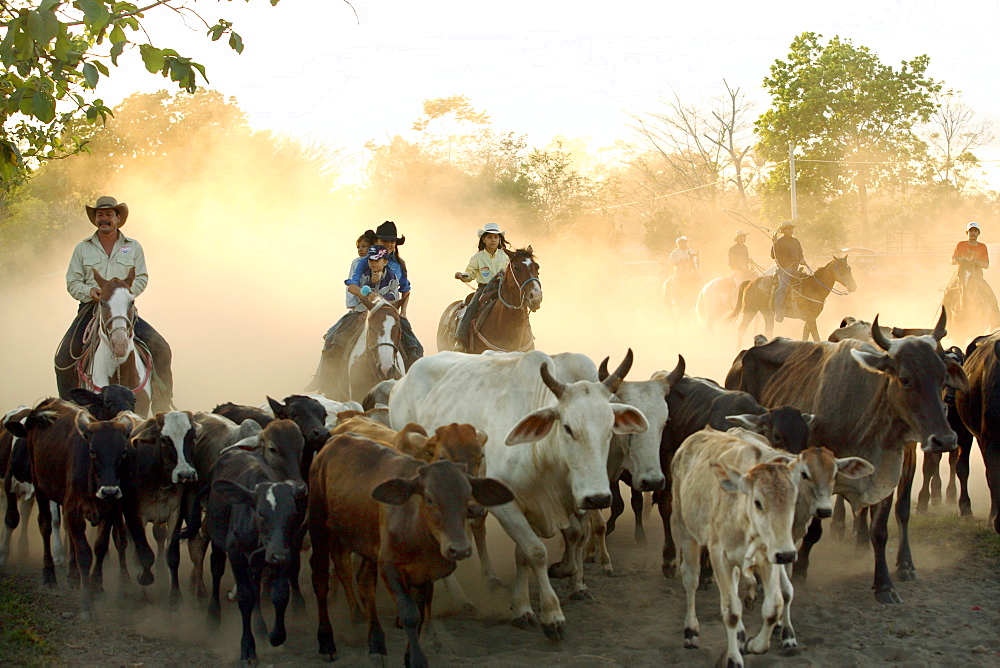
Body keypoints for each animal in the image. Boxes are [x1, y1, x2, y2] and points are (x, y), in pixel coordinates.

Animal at [3, 396, 154, 616]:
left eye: (124, 452)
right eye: (92, 451)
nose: (109, 491)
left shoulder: (108, 510)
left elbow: (100, 546)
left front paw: (96, 585)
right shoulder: (72, 509)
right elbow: (83, 552)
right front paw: (87, 602)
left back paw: (73, 575)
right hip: (40, 488)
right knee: (45, 526)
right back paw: (49, 574)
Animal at [306, 430, 512, 664]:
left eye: (466, 496)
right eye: (429, 499)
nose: (459, 549)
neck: (418, 530)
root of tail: (335, 439)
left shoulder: (425, 573)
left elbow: (420, 611)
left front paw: (408, 654)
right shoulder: (389, 567)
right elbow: (410, 614)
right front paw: (416, 659)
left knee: (362, 581)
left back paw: (374, 640)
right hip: (320, 527)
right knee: (321, 578)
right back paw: (327, 641)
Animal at [728, 314, 968, 604]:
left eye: (943, 377)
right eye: (905, 379)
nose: (945, 439)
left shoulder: (887, 472)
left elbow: (882, 529)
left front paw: (885, 583)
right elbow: (814, 530)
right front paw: (801, 570)